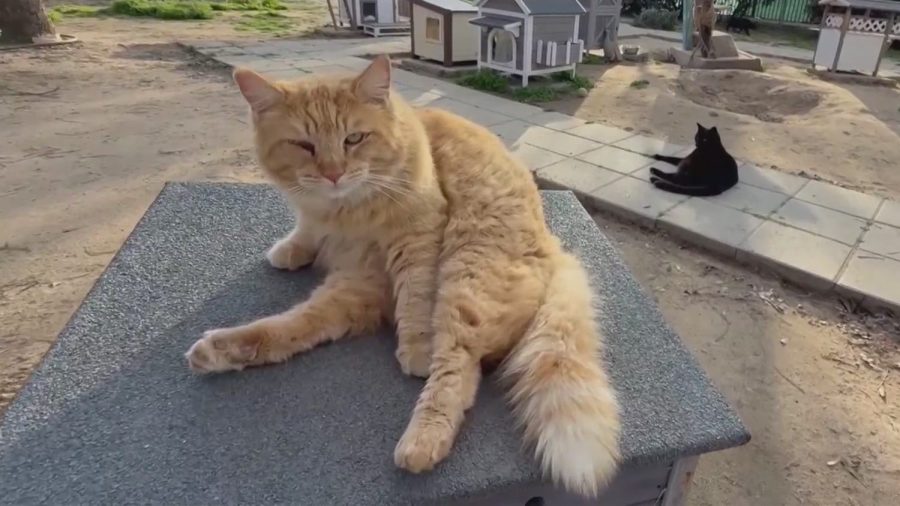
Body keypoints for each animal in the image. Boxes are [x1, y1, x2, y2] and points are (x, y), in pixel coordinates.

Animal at [183, 57, 620, 496]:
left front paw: (417, 348)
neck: (345, 215)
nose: (333, 174)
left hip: (468, 275)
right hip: (360, 290)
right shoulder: (350, 262)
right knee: (292, 328)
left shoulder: (418, 237)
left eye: (354, 139)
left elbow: (415, 296)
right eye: (304, 146)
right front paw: (293, 247)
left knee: (460, 370)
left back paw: (421, 442)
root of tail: (554, 246)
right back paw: (219, 350)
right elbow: (305, 236)